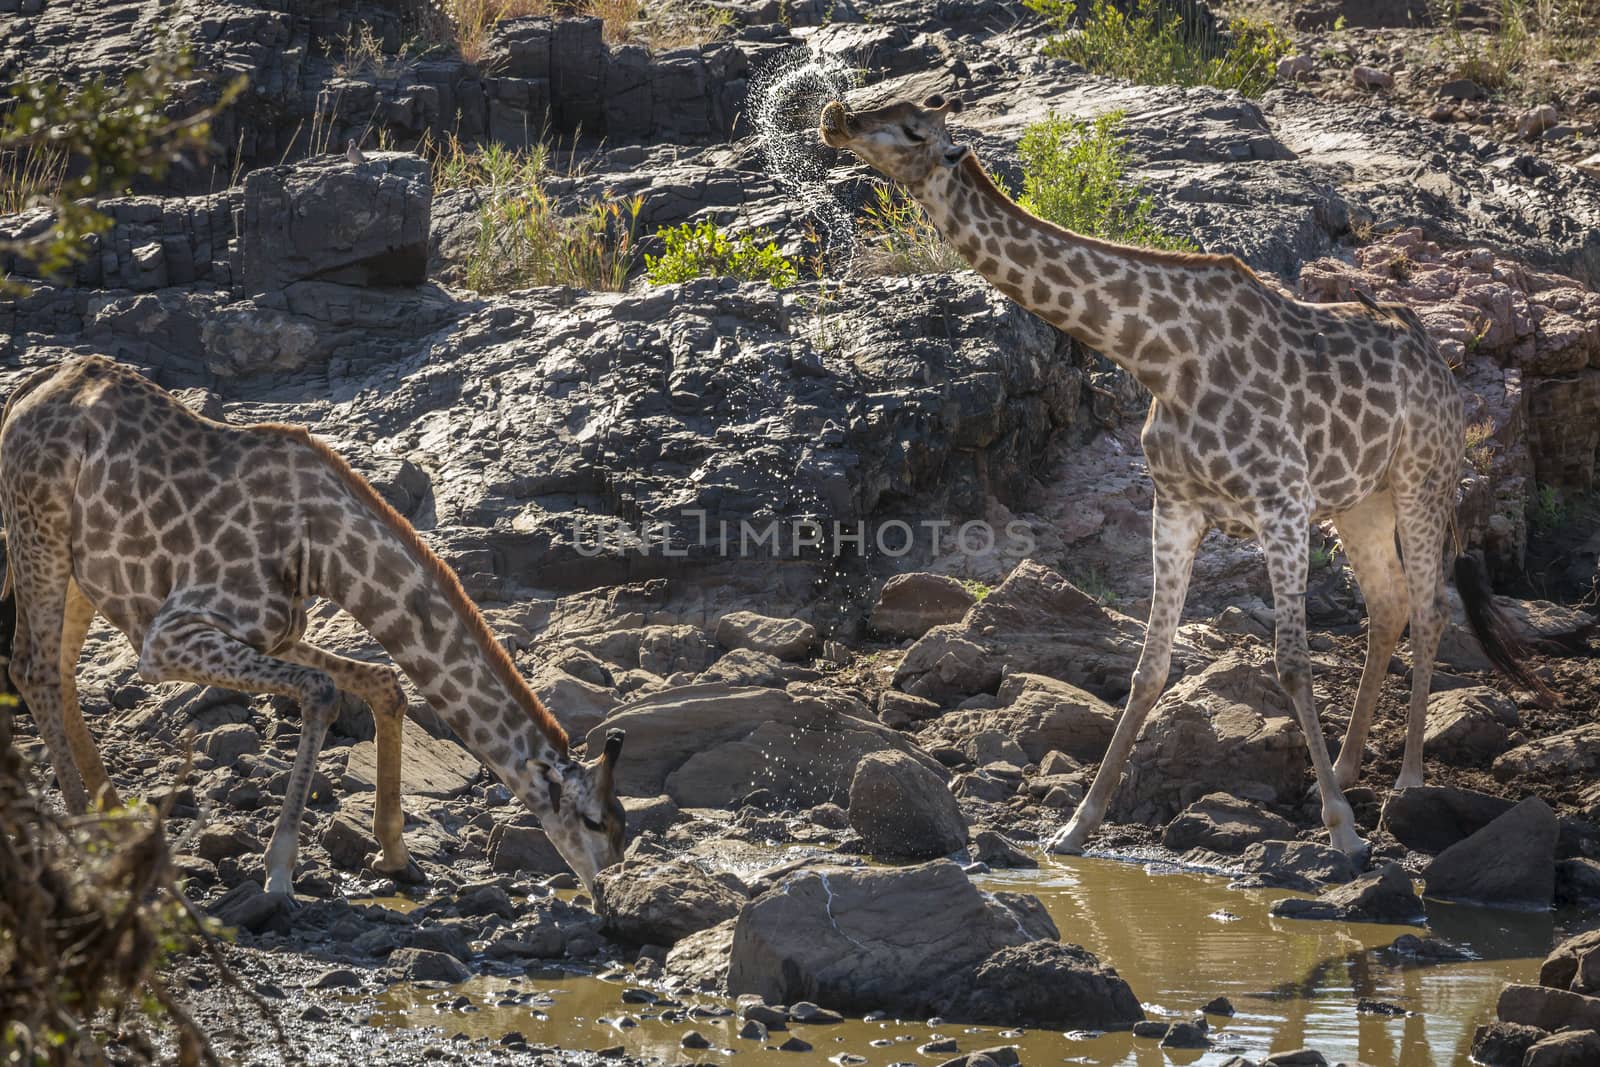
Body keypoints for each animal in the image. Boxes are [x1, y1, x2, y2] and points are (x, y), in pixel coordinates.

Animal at [3, 358, 627, 902]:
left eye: (623, 824)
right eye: (595, 822)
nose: (609, 894)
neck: (323, 552)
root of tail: (29, 389)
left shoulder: (278, 632)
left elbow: (384, 683)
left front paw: (398, 858)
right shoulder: (166, 638)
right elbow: (323, 693)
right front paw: (279, 873)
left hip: (81, 569)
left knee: (58, 672)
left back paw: (112, 823)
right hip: (39, 530)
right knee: (34, 670)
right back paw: (86, 839)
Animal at [819, 91, 1542, 857]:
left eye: (911, 130)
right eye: (875, 105)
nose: (836, 118)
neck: (1159, 356)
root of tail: (1441, 362)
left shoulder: (1280, 503)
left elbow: (1292, 662)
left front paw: (1343, 832)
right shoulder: (1177, 505)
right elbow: (1150, 666)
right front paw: (1077, 825)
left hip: (1422, 480)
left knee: (1431, 608)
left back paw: (1404, 780)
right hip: (1359, 501)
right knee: (1390, 605)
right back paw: (1346, 770)